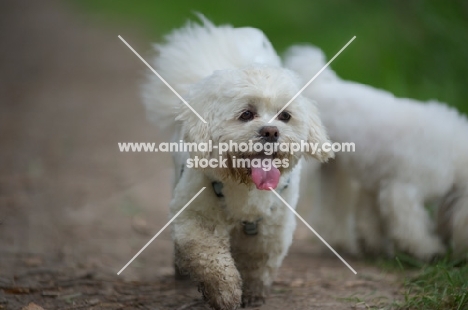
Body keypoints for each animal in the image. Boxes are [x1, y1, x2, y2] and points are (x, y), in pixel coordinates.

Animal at [141, 19, 330, 310]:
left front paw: (253, 293)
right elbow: (209, 257)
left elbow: (258, 262)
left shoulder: (271, 228)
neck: (243, 182)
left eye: (285, 116)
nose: (271, 131)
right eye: (246, 114)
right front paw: (225, 293)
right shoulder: (196, 217)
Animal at [284, 44, 468, 262]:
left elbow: (371, 217)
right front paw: (428, 250)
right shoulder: (403, 190)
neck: (455, 153)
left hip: (334, 170)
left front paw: (373, 245)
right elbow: (411, 226)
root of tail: (319, 85)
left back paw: (340, 242)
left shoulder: (376, 184)